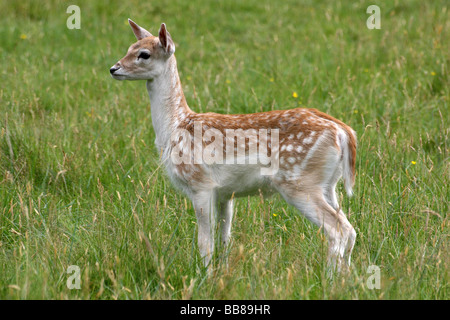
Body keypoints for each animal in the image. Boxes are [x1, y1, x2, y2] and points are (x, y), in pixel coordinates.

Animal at [110, 20, 356, 276]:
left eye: (144, 54)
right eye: (129, 47)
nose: (113, 69)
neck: (175, 128)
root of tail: (342, 132)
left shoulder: (200, 184)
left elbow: (205, 242)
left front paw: (205, 276)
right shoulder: (225, 193)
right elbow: (224, 238)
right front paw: (223, 273)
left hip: (299, 181)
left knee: (337, 230)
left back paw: (328, 278)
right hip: (327, 185)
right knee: (350, 229)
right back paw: (346, 277)